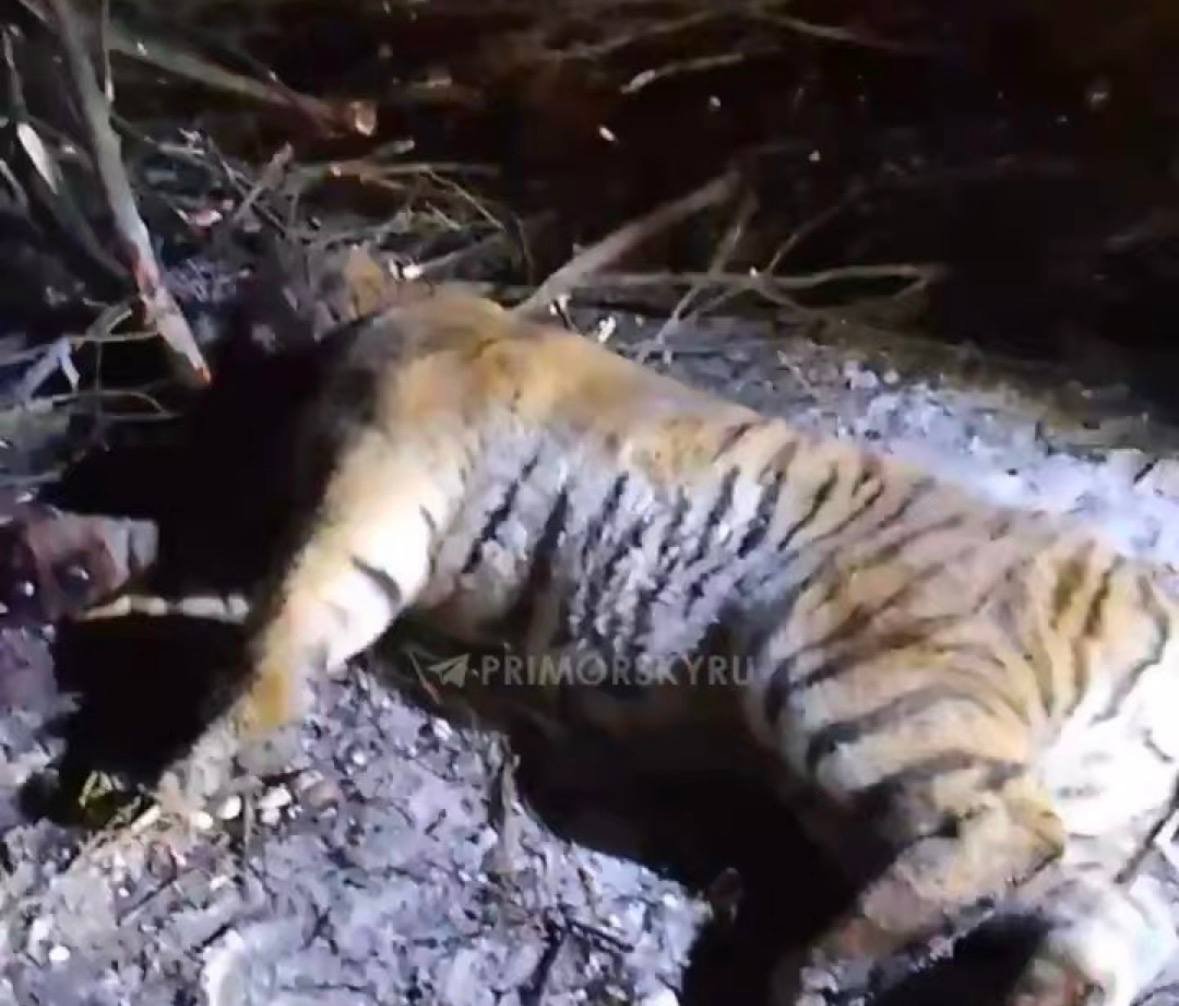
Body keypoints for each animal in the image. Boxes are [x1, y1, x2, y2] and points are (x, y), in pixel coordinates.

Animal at [16, 287, 1179, 1006]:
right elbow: (230, 603)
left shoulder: (379, 492)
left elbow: (284, 624)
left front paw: (185, 770)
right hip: (1115, 851)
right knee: (1092, 939)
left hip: (849, 667)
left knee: (1003, 825)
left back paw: (820, 965)